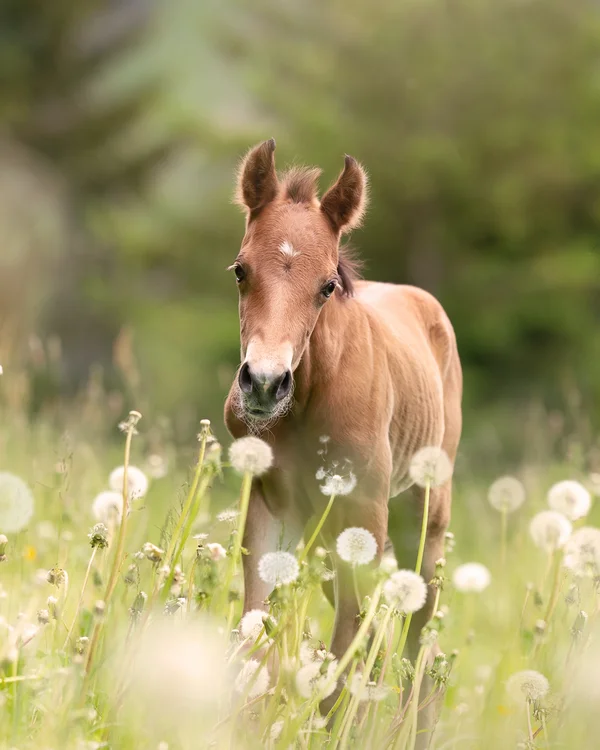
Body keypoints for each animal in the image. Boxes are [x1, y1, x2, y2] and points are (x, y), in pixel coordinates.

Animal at [224, 139, 462, 721]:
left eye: (327, 285)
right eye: (240, 271)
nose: (265, 384)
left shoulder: (365, 514)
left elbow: (344, 661)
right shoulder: (271, 507)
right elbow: (253, 639)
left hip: (423, 516)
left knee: (420, 640)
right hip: (326, 534)